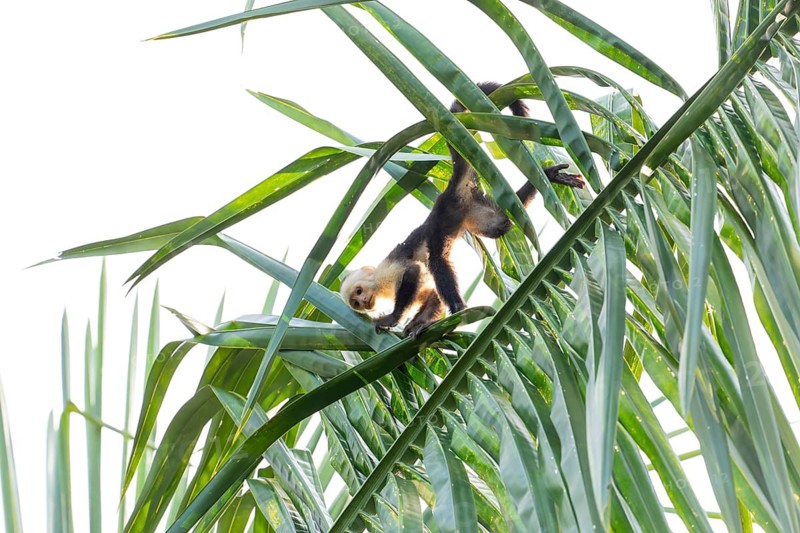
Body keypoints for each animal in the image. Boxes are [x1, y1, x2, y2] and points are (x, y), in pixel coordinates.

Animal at [341, 82, 585, 338]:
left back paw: (458, 308)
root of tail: (449, 190)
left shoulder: (387, 272)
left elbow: (414, 272)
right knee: (499, 225)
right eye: (356, 302)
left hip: (445, 213)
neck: (380, 288)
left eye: (358, 292)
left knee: (437, 259)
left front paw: (394, 318)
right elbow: (431, 294)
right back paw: (548, 177)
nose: (363, 302)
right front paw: (418, 324)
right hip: (472, 210)